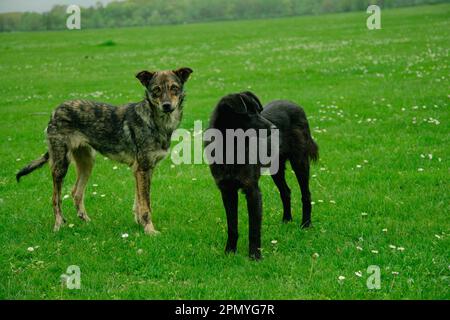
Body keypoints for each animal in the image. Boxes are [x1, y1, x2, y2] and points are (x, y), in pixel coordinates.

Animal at [16, 67, 192, 234]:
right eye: (156, 89)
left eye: (174, 88)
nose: (167, 106)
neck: (155, 121)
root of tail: (55, 111)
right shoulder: (142, 169)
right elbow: (145, 206)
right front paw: (149, 230)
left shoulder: (142, 169)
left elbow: (138, 202)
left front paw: (140, 224)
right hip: (61, 165)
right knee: (56, 198)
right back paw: (58, 225)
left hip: (87, 163)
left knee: (76, 192)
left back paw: (86, 221)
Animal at [207, 90, 316, 260]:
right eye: (249, 113)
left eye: (259, 110)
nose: (274, 128)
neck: (232, 147)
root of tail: (296, 105)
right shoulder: (227, 191)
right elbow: (232, 226)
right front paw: (230, 252)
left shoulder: (252, 190)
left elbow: (254, 229)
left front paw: (254, 256)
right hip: (276, 169)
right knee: (286, 191)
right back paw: (287, 220)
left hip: (300, 162)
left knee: (306, 194)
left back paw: (305, 224)